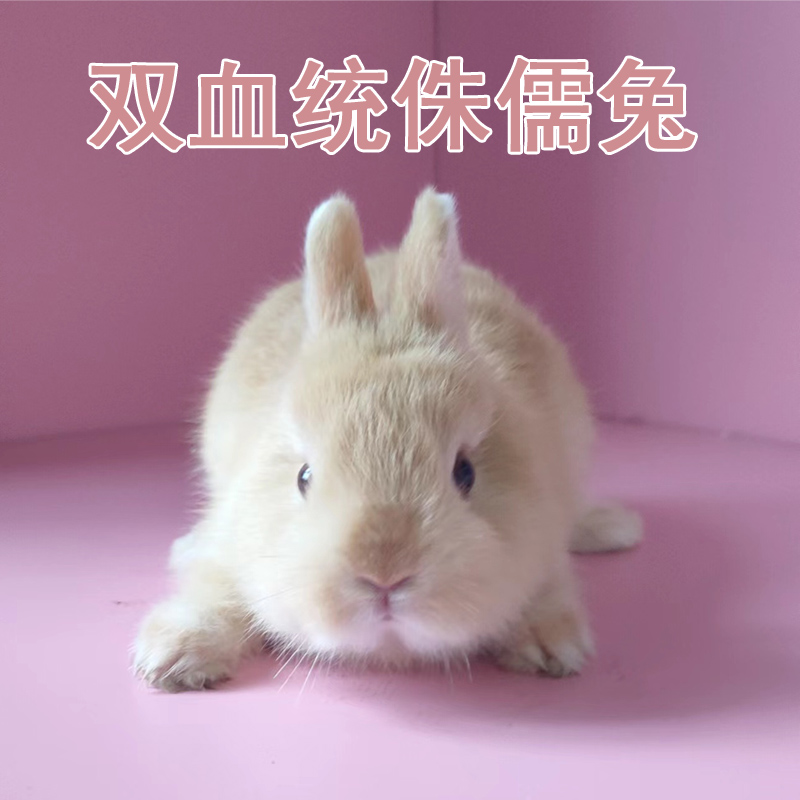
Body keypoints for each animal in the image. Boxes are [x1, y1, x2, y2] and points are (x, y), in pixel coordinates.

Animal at [133, 187, 642, 692]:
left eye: (466, 473)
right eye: (303, 477)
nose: (384, 574)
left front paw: (550, 647)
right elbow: (216, 590)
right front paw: (171, 657)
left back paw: (615, 527)